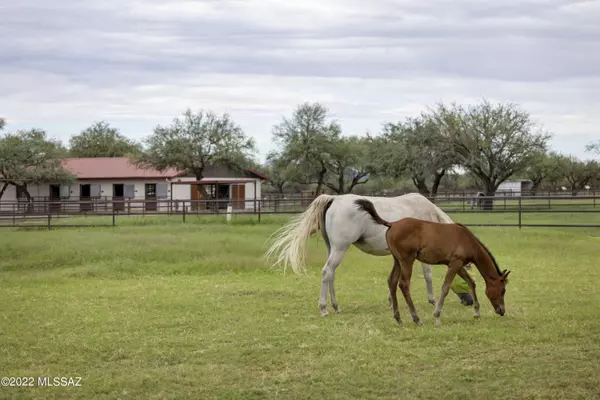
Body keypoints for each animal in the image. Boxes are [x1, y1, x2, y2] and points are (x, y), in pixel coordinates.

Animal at [266, 192, 468, 318]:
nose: (468, 301)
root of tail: (333, 199)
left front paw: (390, 301)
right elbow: (427, 275)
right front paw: (432, 300)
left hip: (333, 249)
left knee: (331, 274)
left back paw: (336, 306)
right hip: (340, 248)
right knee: (326, 272)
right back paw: (324, 308)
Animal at [356, 198, 510, 326]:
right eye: (503, 290)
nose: (502, 311)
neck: (468, 241)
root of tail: (392, 224)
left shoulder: (457, 264)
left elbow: (471, 282)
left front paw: (476, 313)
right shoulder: (455, 264)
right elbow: (445, 287)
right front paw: (436, 316)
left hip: (397, 260)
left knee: (392, 281)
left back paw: (398, 318)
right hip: (407, 260)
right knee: (403, 284)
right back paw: (417, 319)